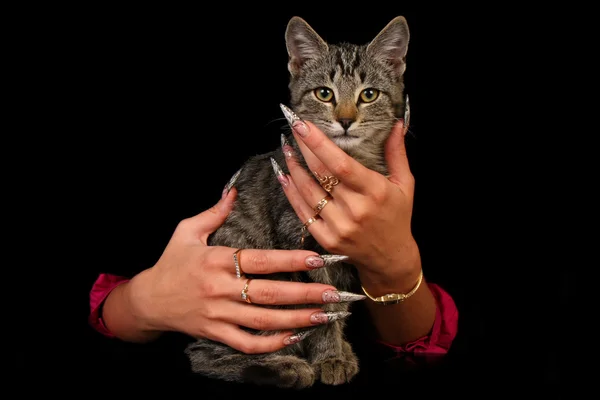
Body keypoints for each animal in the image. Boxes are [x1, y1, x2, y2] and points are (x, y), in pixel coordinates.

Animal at [186, 14, 412, 388]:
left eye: (368, 95)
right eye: (324, 93)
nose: (346, 120)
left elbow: (336, 308)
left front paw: (340, 351)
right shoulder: (299, 244)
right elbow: (320, 309)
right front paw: (330, 356)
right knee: (207, 355)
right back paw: (283, 366)